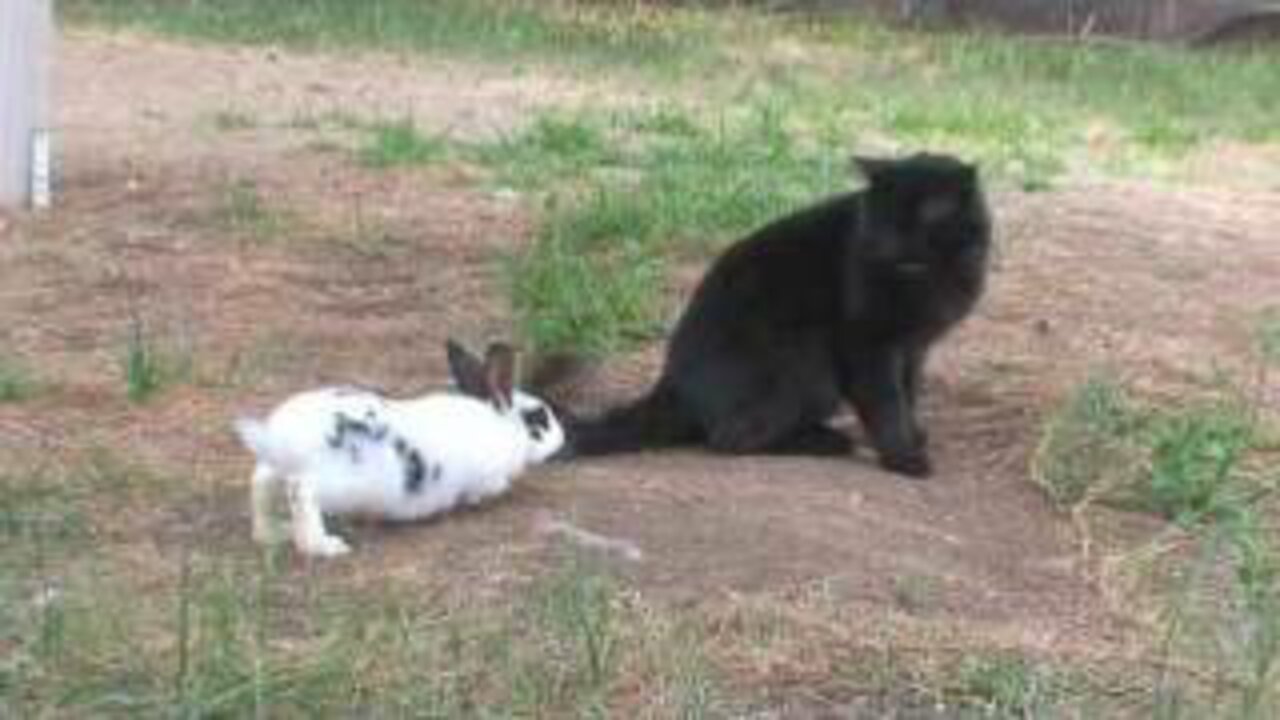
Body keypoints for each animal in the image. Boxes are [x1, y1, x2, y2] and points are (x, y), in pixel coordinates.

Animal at [231, 338, 570, 558]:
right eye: (539, 417)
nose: (562, 438)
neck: (498, 423)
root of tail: (280, 438)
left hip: (272, 472)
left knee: (259, 486)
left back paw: (272, 534)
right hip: (334, 485)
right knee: (302, 494)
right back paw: (326, 546)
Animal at [565, 151, 993, 476]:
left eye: (924, 214)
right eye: (882, 215)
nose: (887, 241)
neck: (928, 275)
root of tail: (671, 384)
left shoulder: (914, 347)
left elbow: (909, 393)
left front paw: (915, 433)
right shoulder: (870, 346)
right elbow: (887, 403)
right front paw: (904, 457)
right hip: (807, 365)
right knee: (729, 439)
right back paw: (829, 442)